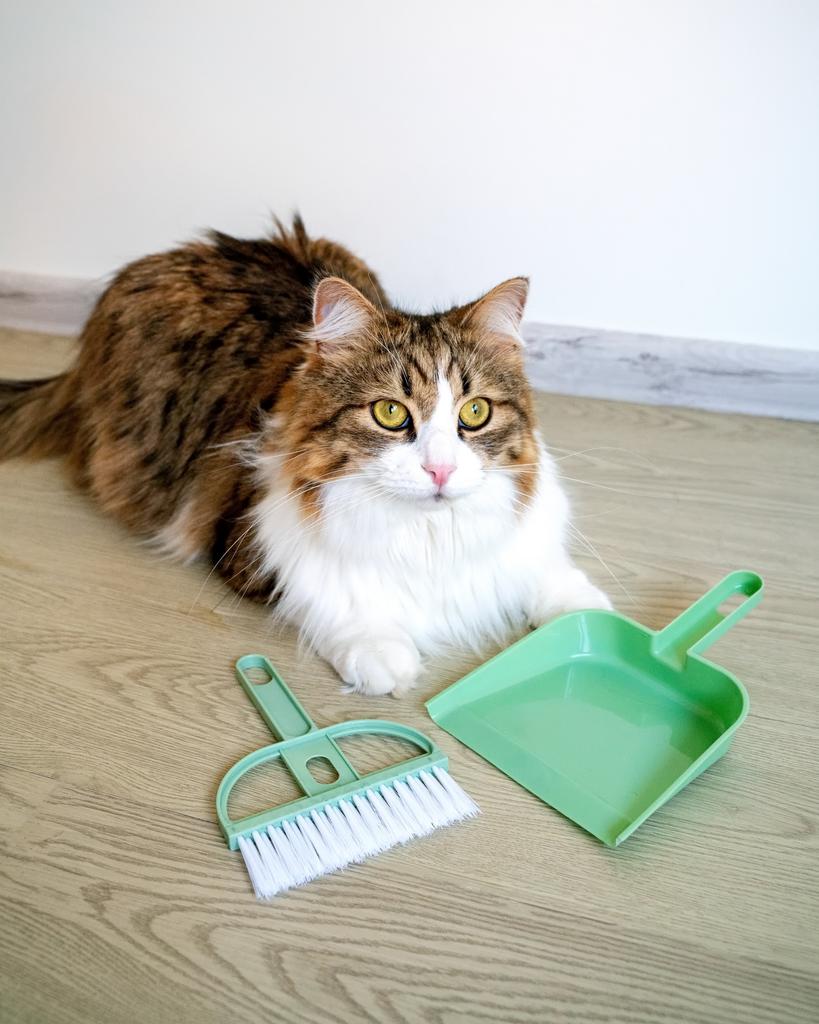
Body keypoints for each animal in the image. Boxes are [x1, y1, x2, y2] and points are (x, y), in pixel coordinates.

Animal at [0, 216, 610, 695]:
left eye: (475, 412)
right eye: (391, 413)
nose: (440, 469)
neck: (429, 541)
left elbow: (538, 569)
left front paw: (583, 607)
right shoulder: (249, 541)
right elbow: (326, 597)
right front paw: (379, 651)